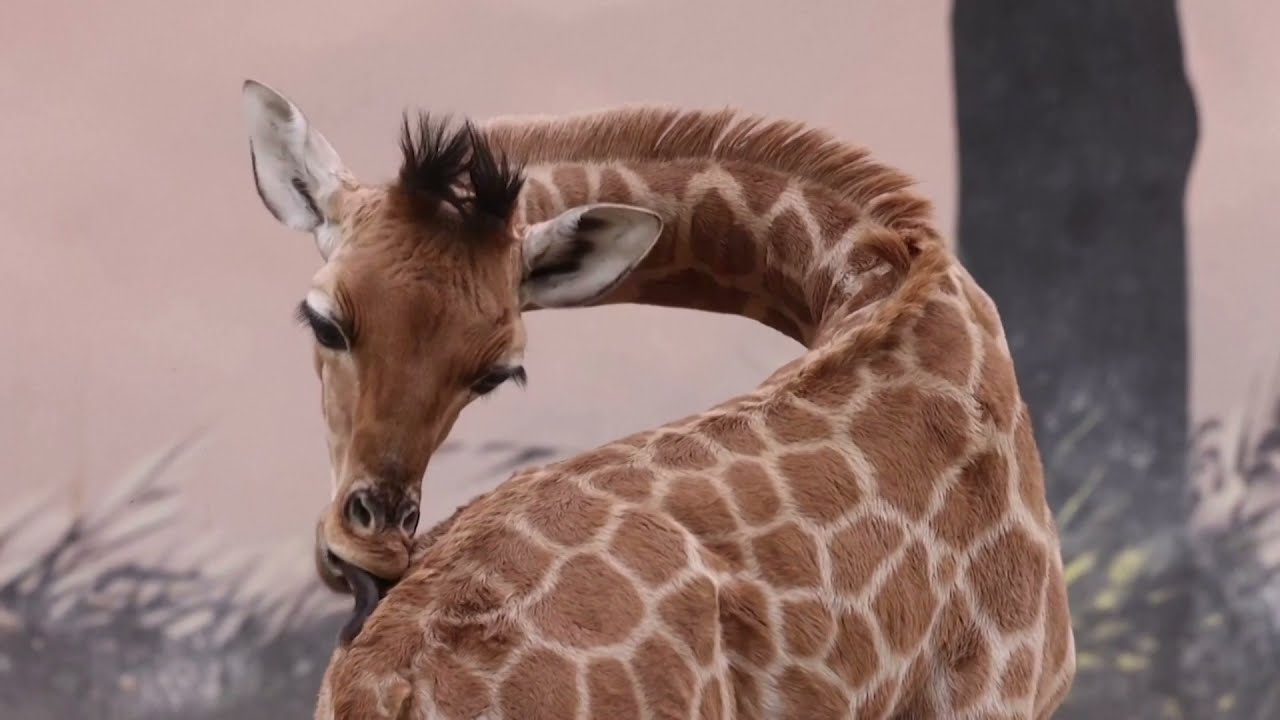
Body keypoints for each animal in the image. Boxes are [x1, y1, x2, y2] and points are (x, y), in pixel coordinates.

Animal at [239, 79, 1076, 718]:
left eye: (497, 372)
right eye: (323, 319)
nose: (370, 552)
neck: (877, 280)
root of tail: (394, 688)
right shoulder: (1004, 689)